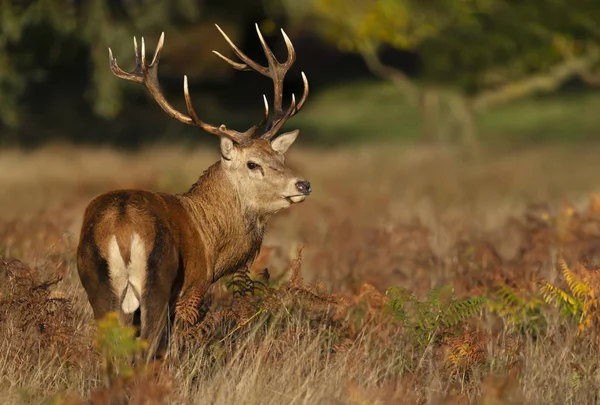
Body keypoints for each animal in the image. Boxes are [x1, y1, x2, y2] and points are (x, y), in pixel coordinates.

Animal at [75, 24, 312, 360]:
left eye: (280, 158)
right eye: (252, 164)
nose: (303, 184)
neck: (212, 241)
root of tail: (121, 226)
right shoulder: (193, 288)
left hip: (96, 283)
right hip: (157, 282)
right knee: (148, 347)